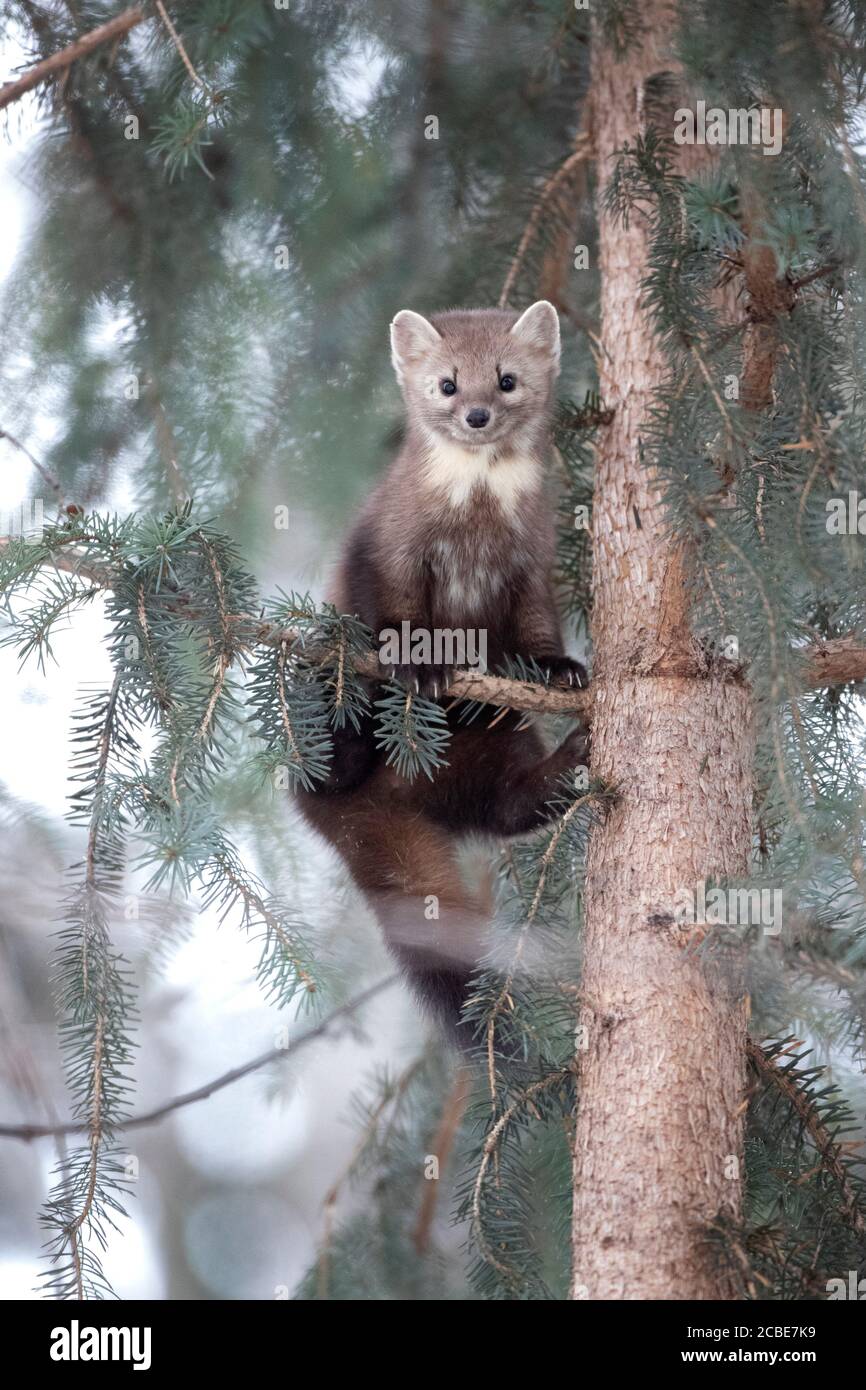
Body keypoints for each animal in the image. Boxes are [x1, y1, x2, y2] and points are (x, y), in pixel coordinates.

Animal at [297, 302, 588, 1047]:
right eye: (448, 383)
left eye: (507, 379)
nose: (478, 415)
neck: (475, 522)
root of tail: (388, 803)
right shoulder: (389, 544)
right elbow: (392, 609)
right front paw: (422, 663)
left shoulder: (533, 561)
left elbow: (537, 630)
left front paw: (562, 670)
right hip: (320, 766)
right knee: (324, 766)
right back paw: (342, 724)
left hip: (492, 748)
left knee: (509, 804)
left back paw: (576, 758)